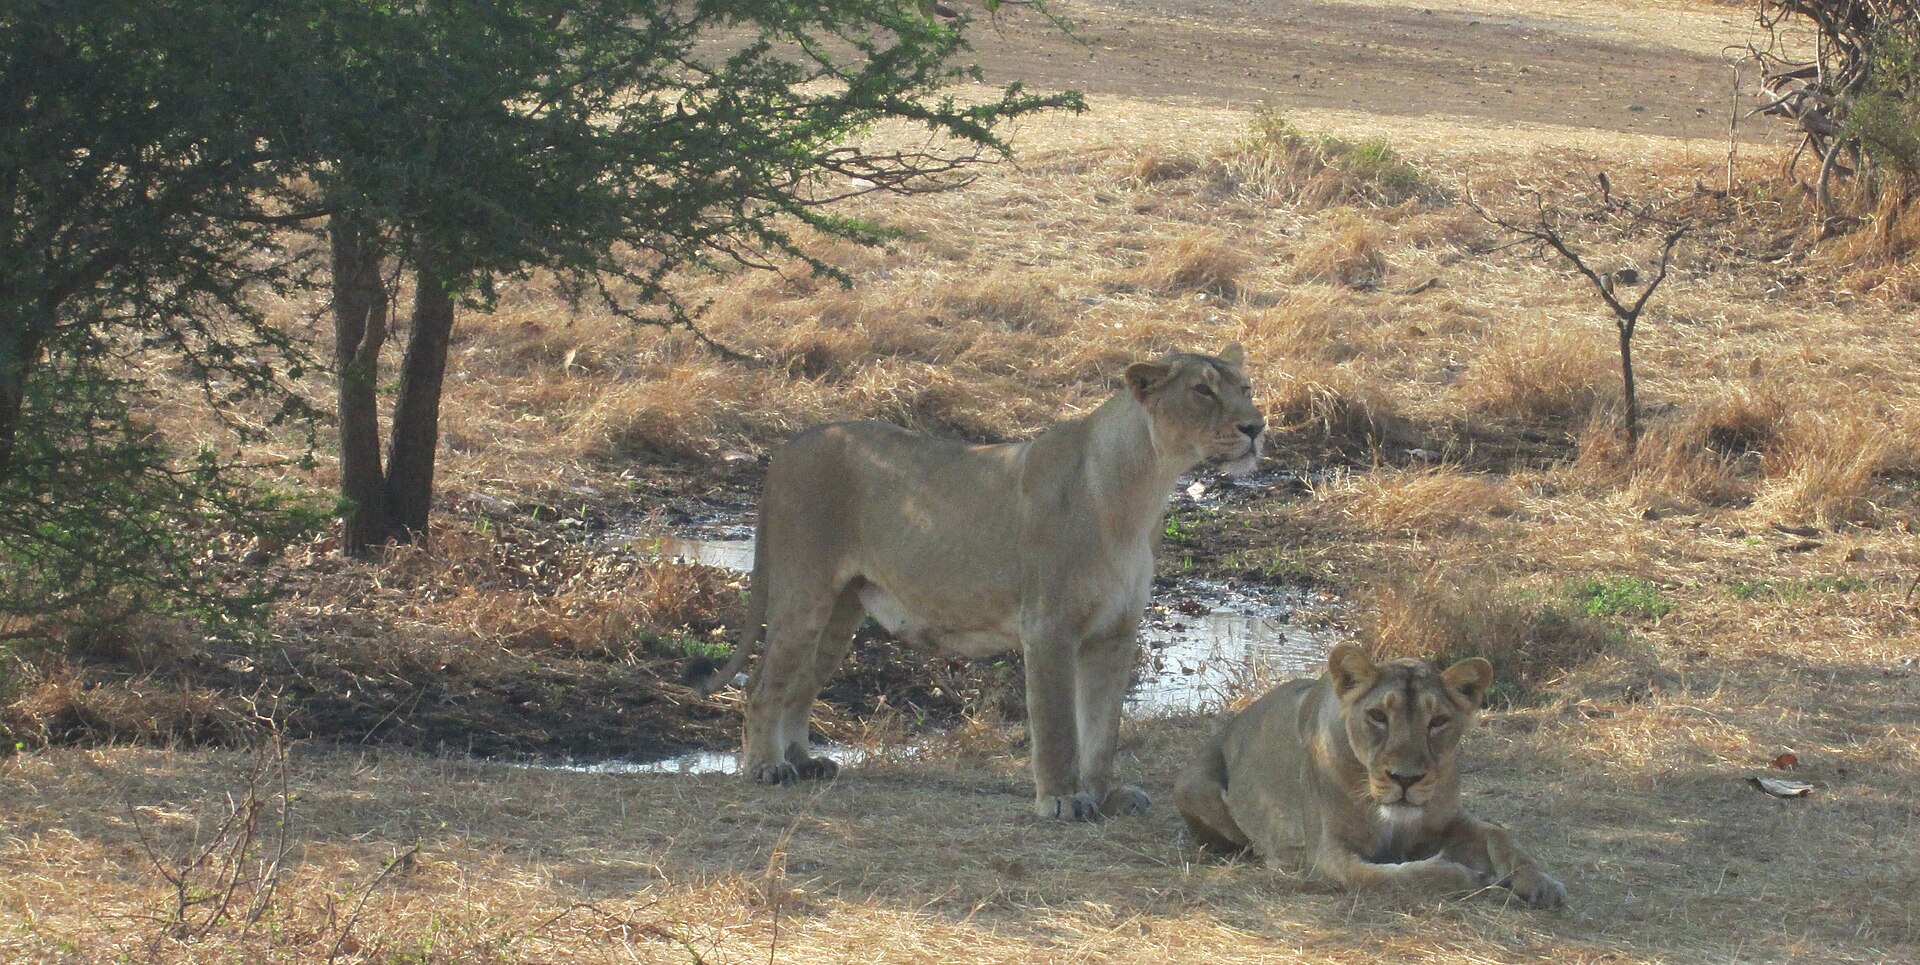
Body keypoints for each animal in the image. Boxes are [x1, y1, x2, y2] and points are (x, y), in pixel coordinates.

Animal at [688, 346, 1265, 820]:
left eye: (1246, 387)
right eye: (1203, 391)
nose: (1256, 427)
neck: (1142, 490)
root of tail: (790, 445)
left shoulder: (1115, 632)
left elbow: (1102, 730)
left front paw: (1104, 797)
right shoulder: (1048, 627)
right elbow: (1058, 725)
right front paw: (1061, 800)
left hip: (841, 611)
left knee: (800, 685)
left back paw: (805, 761)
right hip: (803, 592)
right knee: (764, 685)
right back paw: (767, 767)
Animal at [1174, 643, 1567, 907]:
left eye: (1438, 721)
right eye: (1378, 716)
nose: (1405, 779)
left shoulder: (1446, 821)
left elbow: (1499, 835)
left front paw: (1541, 881)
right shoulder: (1326, 855)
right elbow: (1394, 876)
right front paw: (1468, 877)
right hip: (1197, 789)